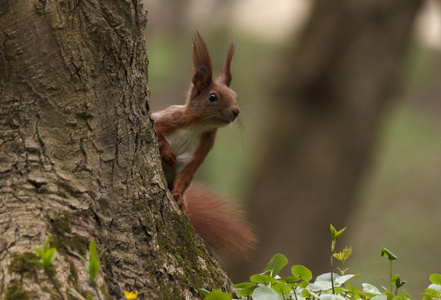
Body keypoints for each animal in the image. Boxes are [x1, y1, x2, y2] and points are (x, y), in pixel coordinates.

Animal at [151, 29, 254, 255]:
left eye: (236, 96)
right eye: (212, 97)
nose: (236, 111)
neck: (197, 126)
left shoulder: (201, 150)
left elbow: (185, 176)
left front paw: (180, 198)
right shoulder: (166, 119)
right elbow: (157, 133)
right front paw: (167, 152)